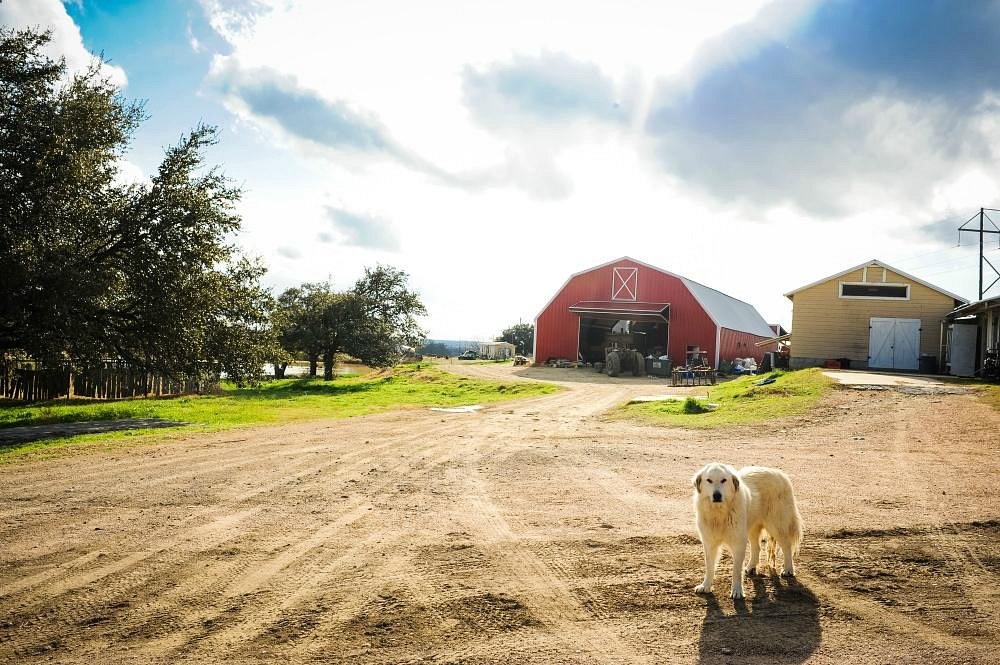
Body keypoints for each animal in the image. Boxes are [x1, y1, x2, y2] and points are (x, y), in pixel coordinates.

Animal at [692, 462, 800, 596]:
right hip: (752, 528)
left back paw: (788, 569)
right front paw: (705, 586)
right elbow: (709, 567)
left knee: (786, 546)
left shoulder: (738, 543)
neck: (719, 513)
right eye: (709, 480)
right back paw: (751, 567)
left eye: (724, 480)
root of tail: (781, 474)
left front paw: (737, 591)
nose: (717, 495)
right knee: (756, 547)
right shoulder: (709, 543)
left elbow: (736, 571)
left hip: (776, 525)